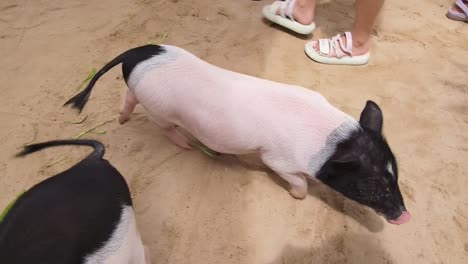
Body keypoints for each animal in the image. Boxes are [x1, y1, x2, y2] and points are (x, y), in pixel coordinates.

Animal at [65, 43, 410, 225]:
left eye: (395, 175)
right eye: (373, 184)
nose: (404, 216)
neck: (330, 144)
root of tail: (136, 53)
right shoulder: (277, 159)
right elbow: (297, 181)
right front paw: (296, 195)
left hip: (141, 92)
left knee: (127, 99)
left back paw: (123, 120)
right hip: (160, 110)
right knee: (164, 126)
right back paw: (185, 145)